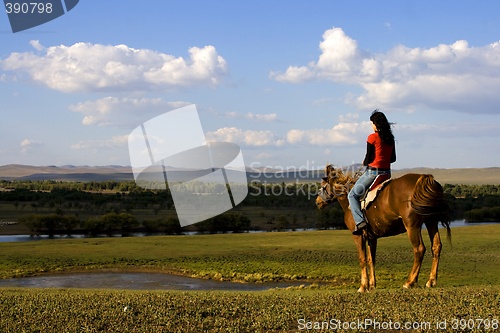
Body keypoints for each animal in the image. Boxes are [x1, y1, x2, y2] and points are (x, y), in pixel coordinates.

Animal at [316, 165, 454, 292]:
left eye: (323, 186)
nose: (317, 201)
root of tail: (423, 179)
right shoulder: (372, 237)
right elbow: (371, 259)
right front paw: (372, 285)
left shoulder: (358, 235)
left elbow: (362, 259)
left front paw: (363, 286)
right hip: (431, 221)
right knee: (436, 246)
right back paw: (431, 281)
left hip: (412, 226)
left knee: (419, 249)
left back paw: (410, 282)